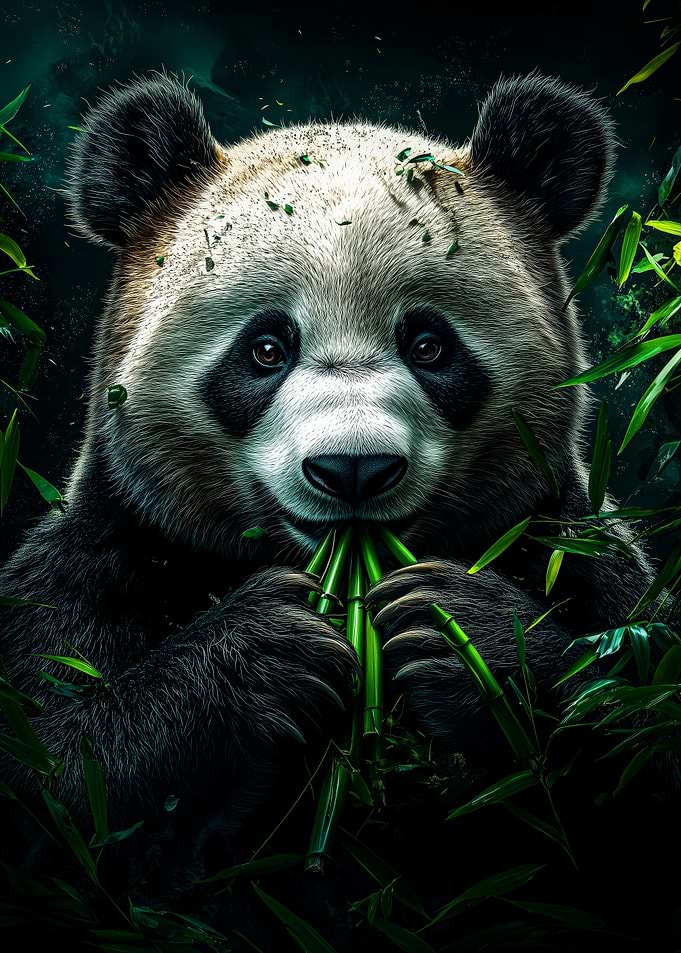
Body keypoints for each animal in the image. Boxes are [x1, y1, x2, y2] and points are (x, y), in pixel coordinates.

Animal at [0, 71, 652, 839]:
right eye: (265, 348)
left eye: (429, 345)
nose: (353, 468)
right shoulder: (110, 551)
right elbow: (61, 759)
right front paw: (263, 651)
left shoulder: (569, 539)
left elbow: (627, 695)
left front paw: (455, 630)